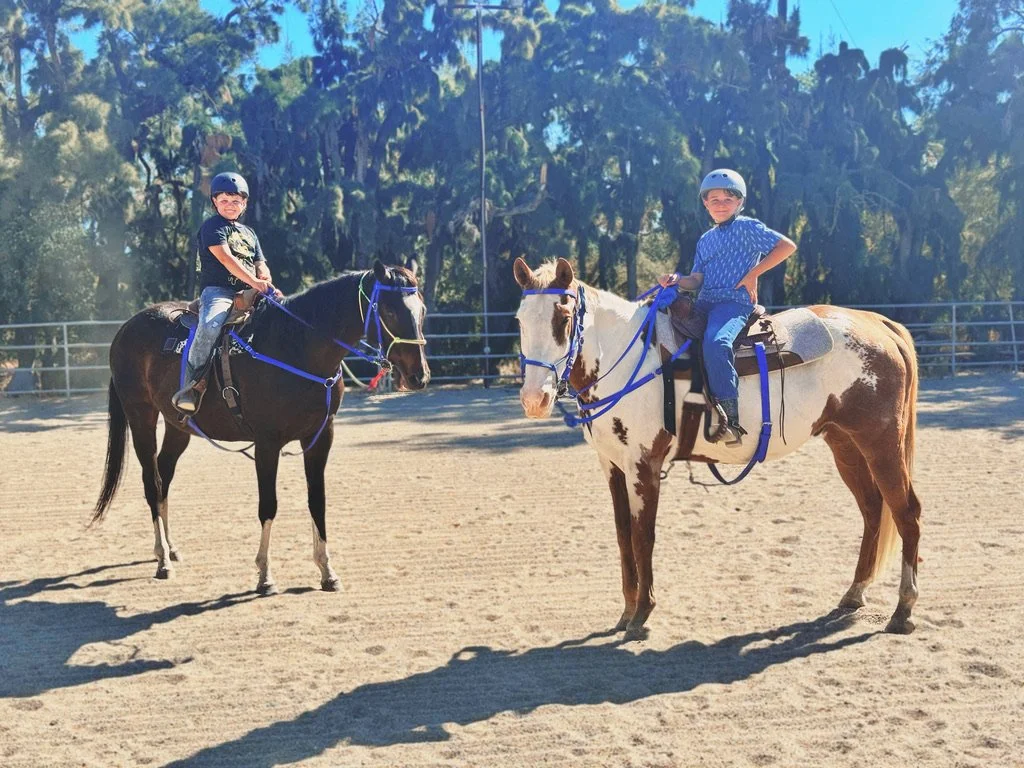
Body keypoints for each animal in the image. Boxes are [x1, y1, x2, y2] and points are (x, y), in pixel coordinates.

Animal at [93, 260, 430, 593]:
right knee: (152, 482)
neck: (297, 346)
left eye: (422, 310)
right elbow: (268, 505)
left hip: (178, 426)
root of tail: (125, 329)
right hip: (141, 416)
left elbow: (317, 501)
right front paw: (265, 575)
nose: (419, 376)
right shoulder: (267, 443)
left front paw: (327, 571)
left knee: (164, 476)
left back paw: (171, 547)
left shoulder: (321, 436)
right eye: (389, 311)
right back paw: (162, 559)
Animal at [513, 257, 921, 638]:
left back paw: (903, 610)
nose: (535, 400)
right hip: (845, 444)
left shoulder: (644, 464)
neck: (629, 360)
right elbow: (623, 535)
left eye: (564, 318)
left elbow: (643, 536)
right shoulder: (612, 465)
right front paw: (626, 612)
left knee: (906, 512)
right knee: (872, 510)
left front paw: (642, 614)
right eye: (519, 320)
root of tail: (878, 324)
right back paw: (854, 593)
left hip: (881, 443)